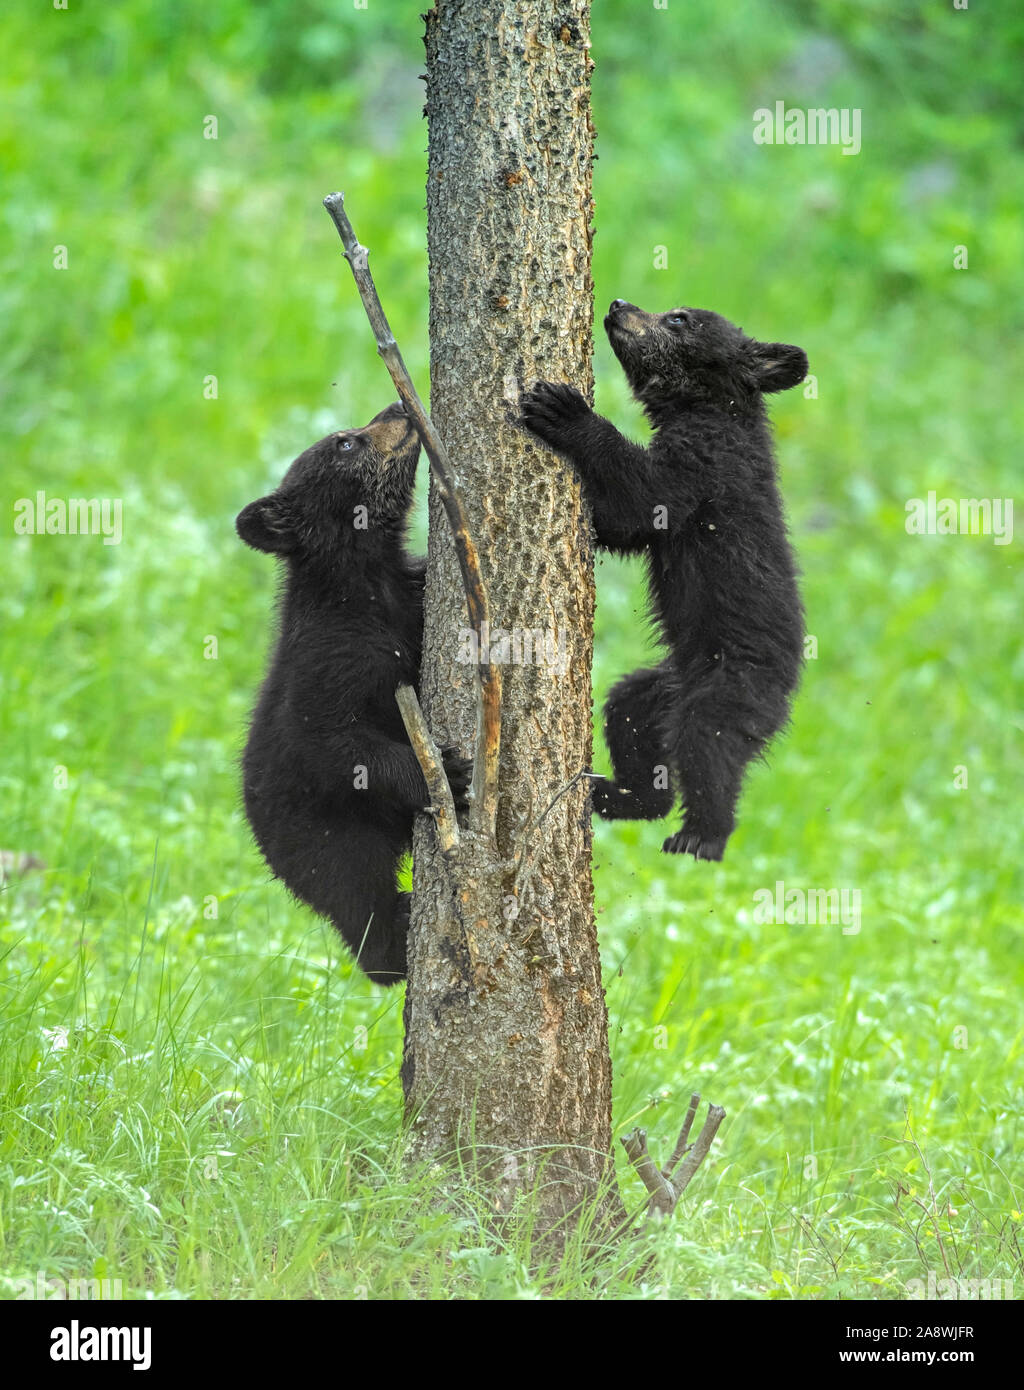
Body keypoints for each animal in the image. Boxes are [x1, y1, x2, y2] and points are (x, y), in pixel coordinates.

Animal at [236, 401, 471, 985]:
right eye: (345, 442)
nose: (397, 406)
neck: (364, 581)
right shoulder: (327, 660)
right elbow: (331, 740)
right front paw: (442, 773)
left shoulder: (411, 598)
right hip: (325, 835)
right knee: (355, 893)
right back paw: (393, 948)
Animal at [520, 300, 806, 861]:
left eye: (679, 319)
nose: (617, 305)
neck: (711, 407)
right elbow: (627, 525)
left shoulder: (705, 460)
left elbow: (645, 494)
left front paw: (564, 410)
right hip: (663, 686)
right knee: (629, 714)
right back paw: (618, 795)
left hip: (733, 688)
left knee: (707, 746)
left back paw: (702, 835)